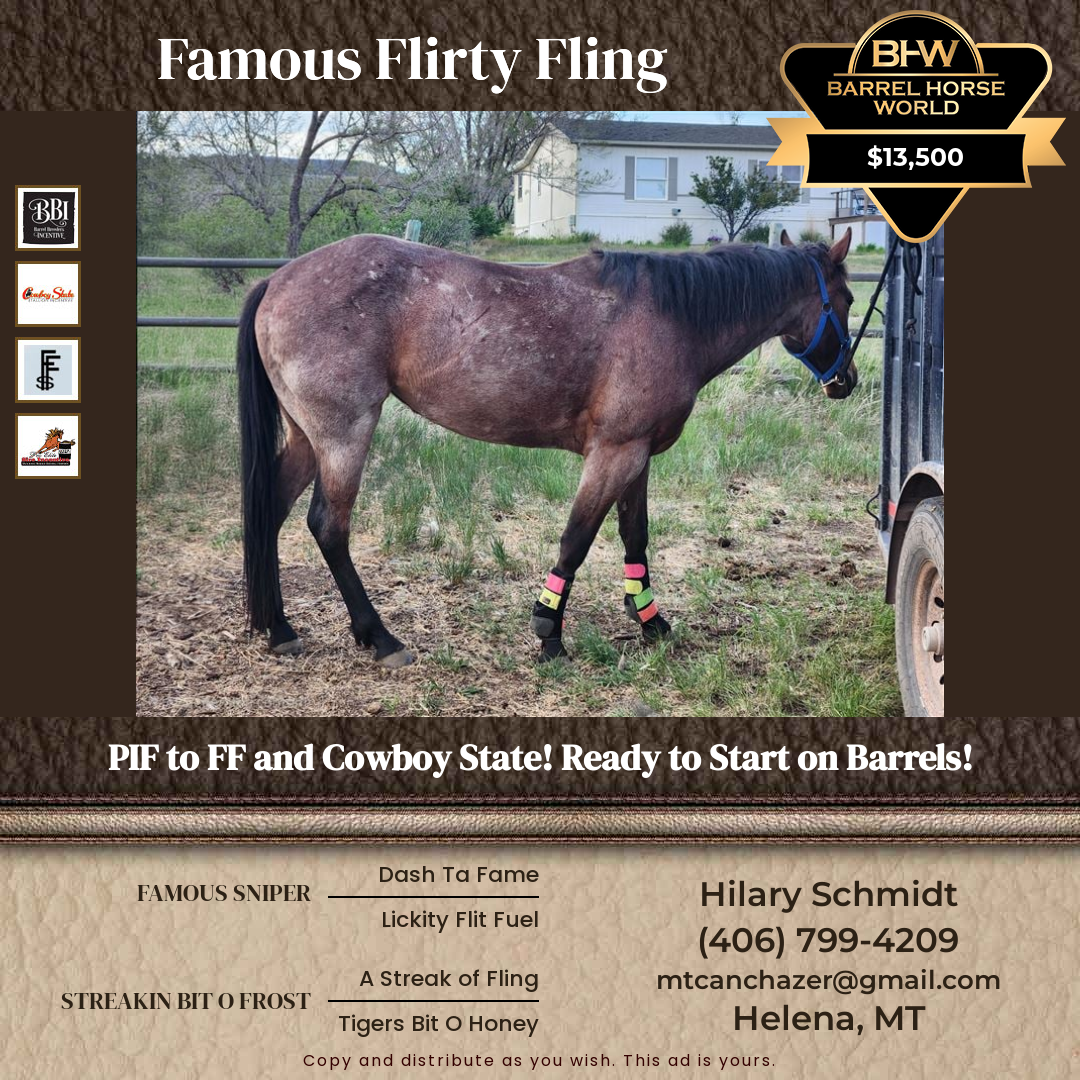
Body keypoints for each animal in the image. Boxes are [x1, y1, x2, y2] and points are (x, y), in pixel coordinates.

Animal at [237, 226, 856, 667]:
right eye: (846, 299)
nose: (845, 381)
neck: (670, 318)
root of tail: (277, 281)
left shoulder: (636, 456)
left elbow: (635, 538)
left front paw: (650, 621)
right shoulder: (614, 453)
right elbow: (577, 539)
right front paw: (549, 631)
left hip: (307, 439)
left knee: (270, 511)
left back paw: (280, 629)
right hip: (343, 436)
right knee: (328, 526)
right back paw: (380, 637)